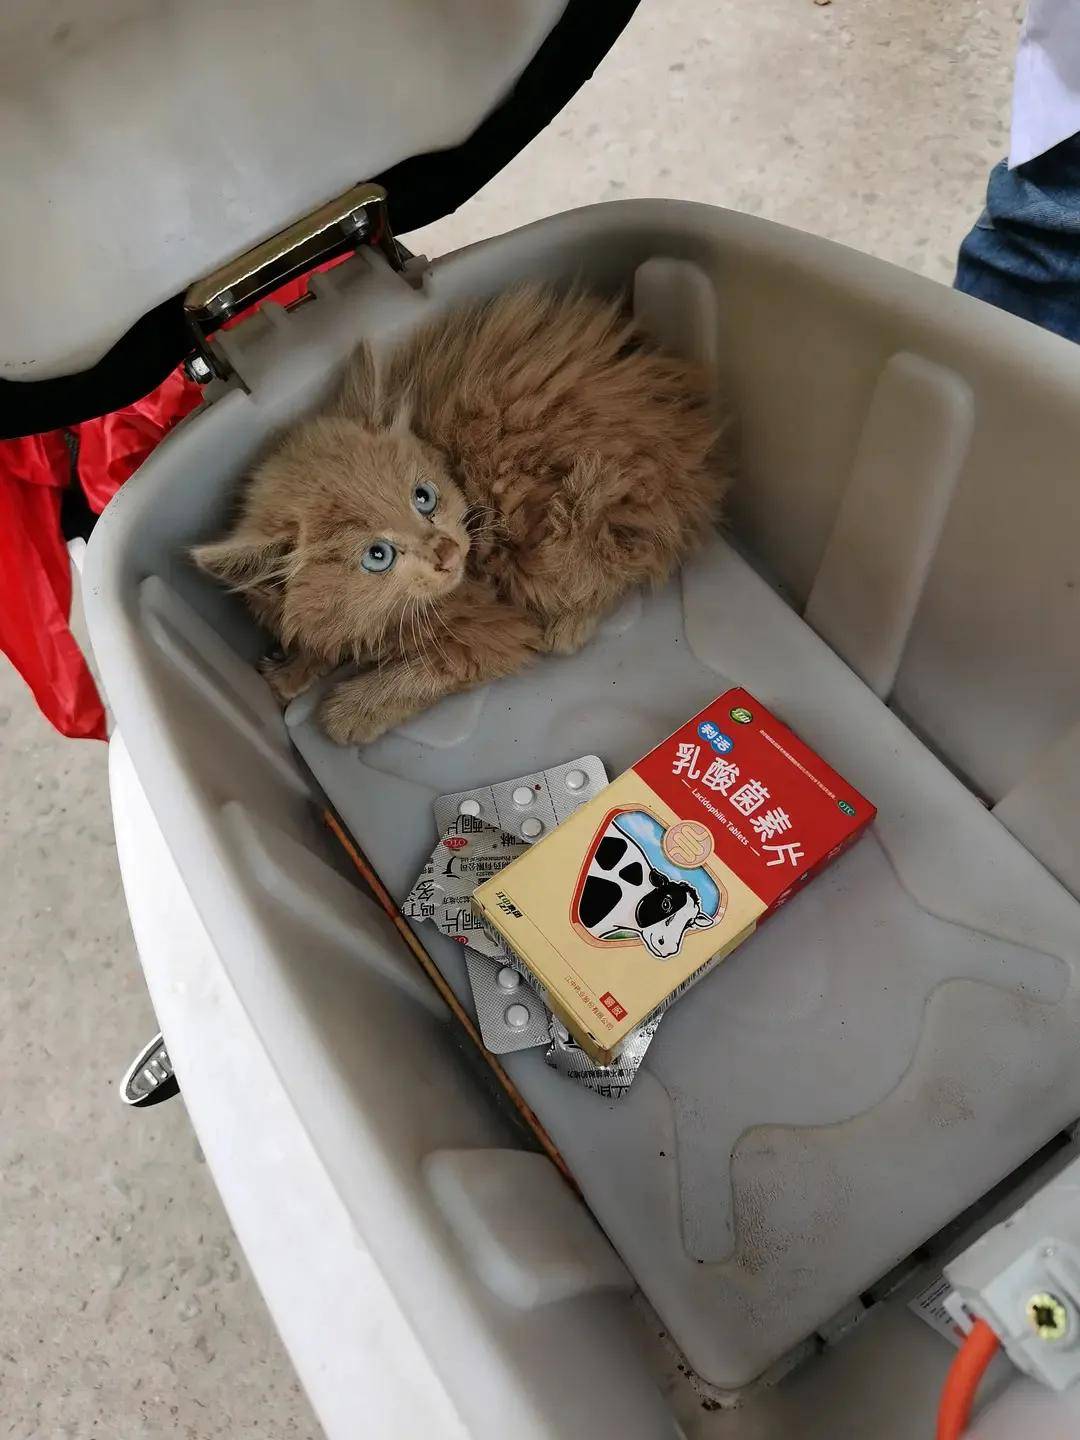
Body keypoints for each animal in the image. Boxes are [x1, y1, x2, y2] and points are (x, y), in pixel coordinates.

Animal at [192, 284, 728, 745]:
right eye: (377, 556)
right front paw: (293, 670)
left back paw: (568, 627)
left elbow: (427, 668)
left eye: (423, 498)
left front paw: (349, 712)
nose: (447, 551)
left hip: (574, 521)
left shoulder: (491, 629)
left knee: (620, 566)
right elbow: (323, 639)